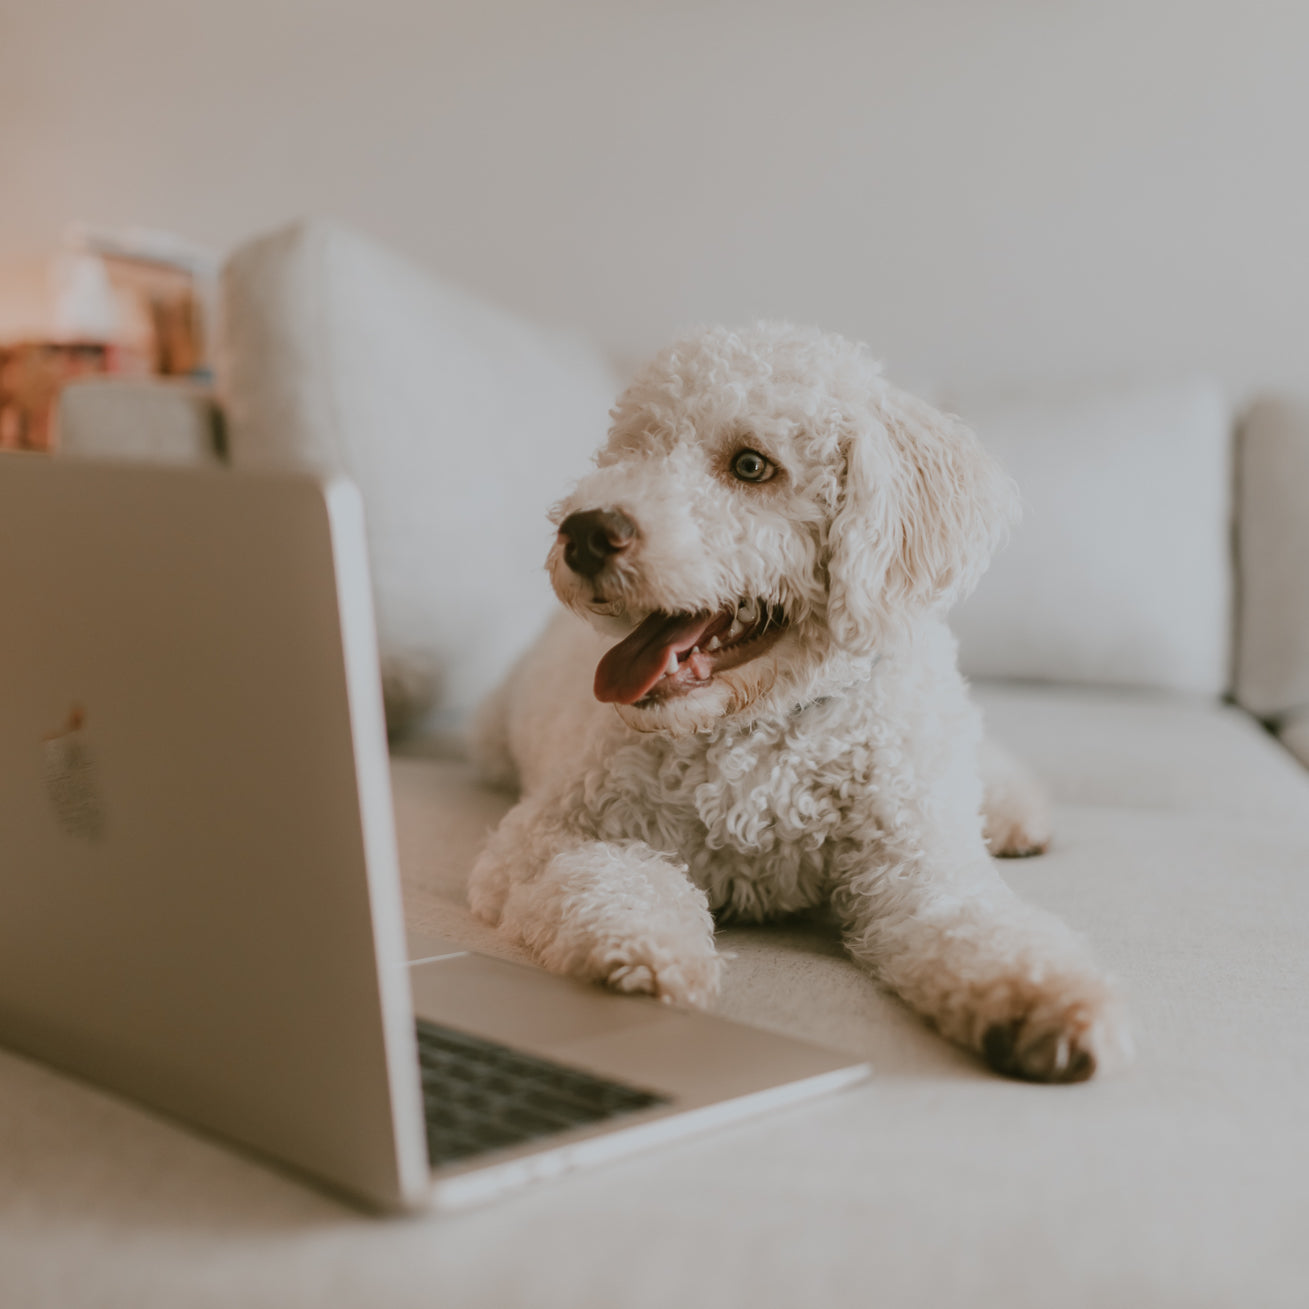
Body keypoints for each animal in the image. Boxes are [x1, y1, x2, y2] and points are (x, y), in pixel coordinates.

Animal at [473, 324, 1136, 1083]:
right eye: (633, 449)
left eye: (751, 465)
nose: (583, 532)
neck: (763, 727)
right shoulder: (535, 842)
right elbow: (612, 874)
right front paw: (643, 950)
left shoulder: (919, 867)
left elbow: (978, 923)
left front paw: (1049, 1002)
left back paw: (1011, 811)